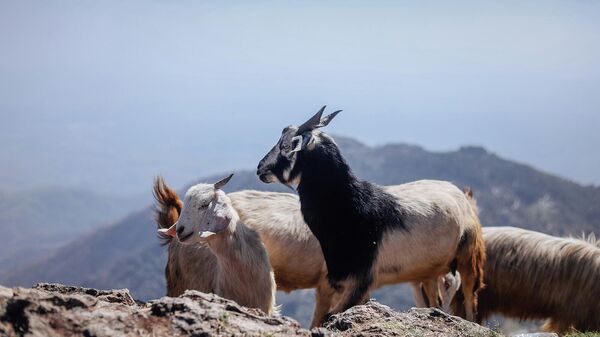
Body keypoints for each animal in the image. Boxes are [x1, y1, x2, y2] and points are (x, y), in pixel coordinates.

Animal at [255, 106, 486, 322]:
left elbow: (329, 315)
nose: (260, 169)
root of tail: (462, 195)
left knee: (470, 299)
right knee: (436, 300)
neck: (351, 207)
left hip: (469, 258)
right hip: (429, 272)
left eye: (286, 146)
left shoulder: (360, 280)